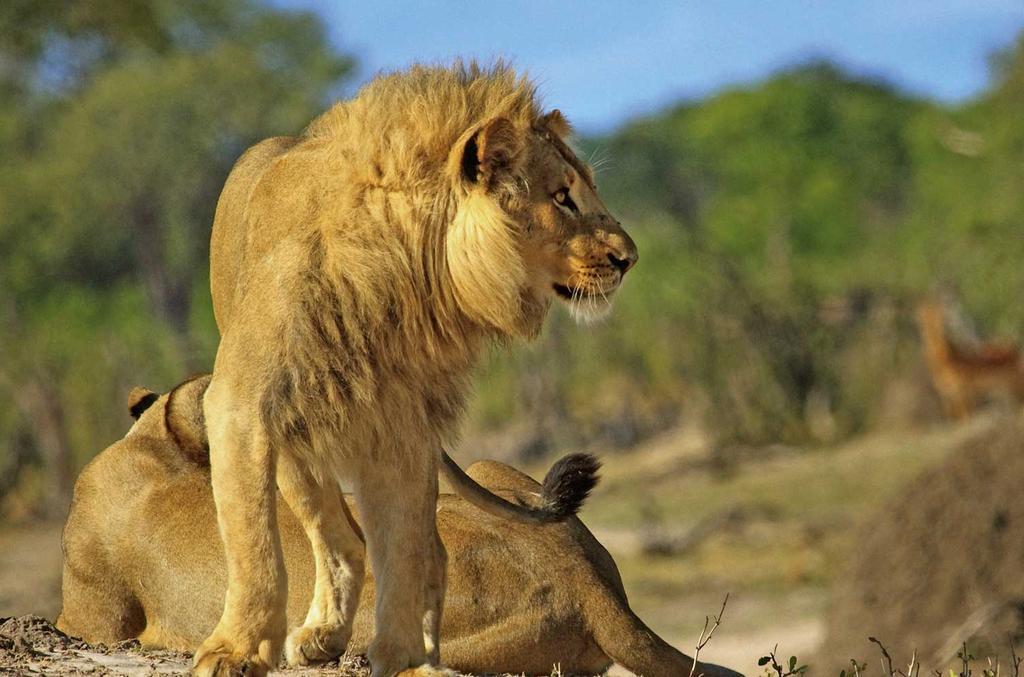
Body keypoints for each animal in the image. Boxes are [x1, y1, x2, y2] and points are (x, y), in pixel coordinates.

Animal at [198, 62, 638, 676]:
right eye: (562, 198)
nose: (630, 259)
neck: (403, 269)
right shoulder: (242, 406)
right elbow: (253, 543)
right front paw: (235, 651)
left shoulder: (402, 426)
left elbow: (403, 549)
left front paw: (404, 658)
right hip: (297, 442)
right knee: (337, 537)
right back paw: (323, 634)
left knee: (425, 550)